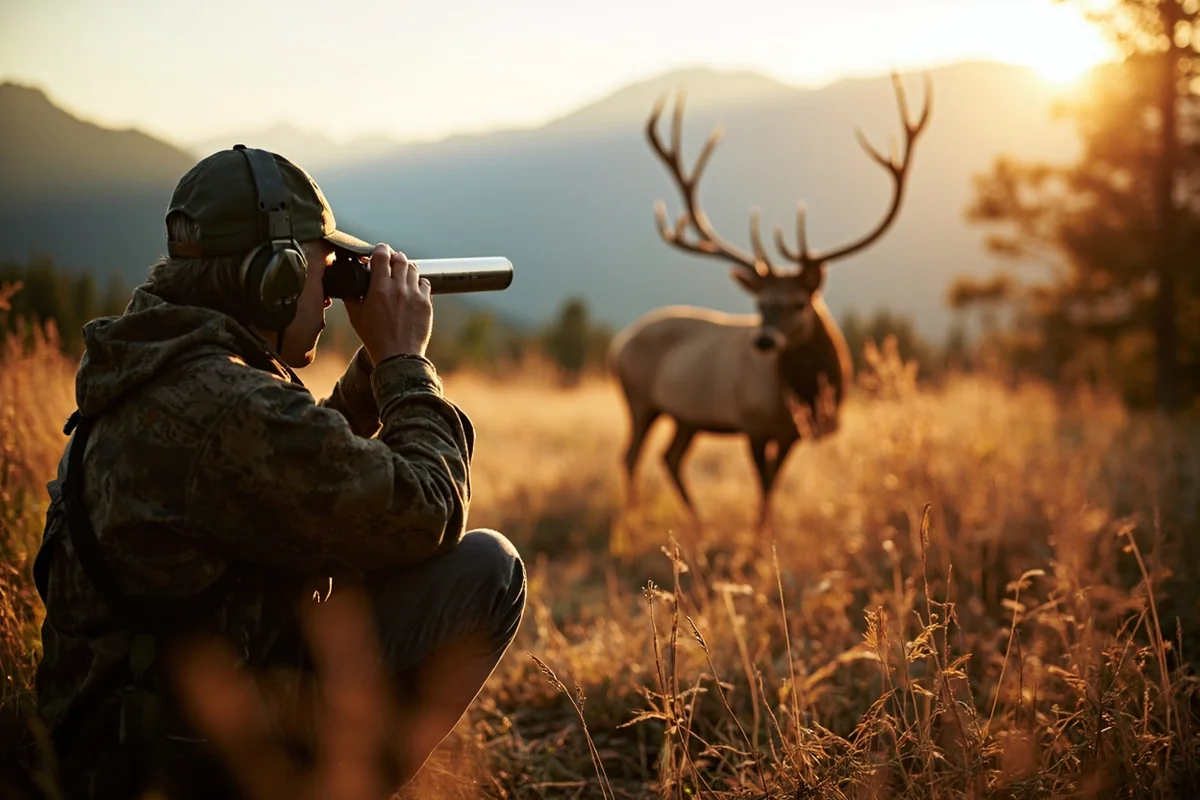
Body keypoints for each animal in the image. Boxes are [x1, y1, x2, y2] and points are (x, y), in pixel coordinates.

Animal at [608, 71, 932, 529]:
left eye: (799, 303)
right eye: (759, 306)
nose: (763, 341)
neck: (806, 395)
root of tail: (617, 343)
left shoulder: (791, 433)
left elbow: (773, 488)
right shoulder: (753, 424)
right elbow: (762, 490)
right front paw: (760, 538)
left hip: (686, 415)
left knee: (670, 457)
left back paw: (698, 523)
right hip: (638, 398)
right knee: (632, 454)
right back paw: (634, 519)